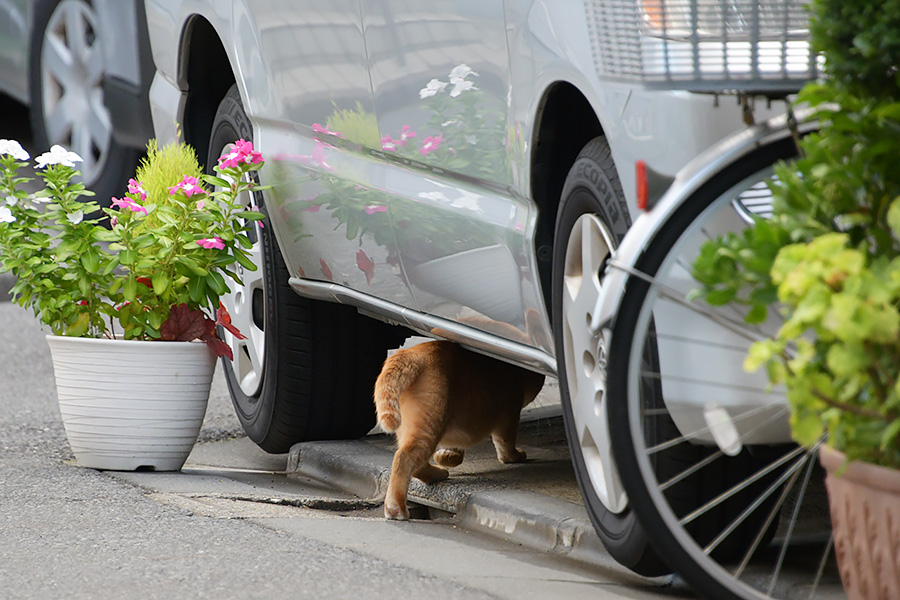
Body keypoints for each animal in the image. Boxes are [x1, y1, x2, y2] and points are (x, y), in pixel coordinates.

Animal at [370, 342, 540, 520]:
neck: (512, 372)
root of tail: (411, 352)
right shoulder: (509, 416)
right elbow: (505, 447)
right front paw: (515, 456)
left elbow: (453, 451)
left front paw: (446, 456)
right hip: (428, 426)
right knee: (404, 458)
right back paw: (396, 508)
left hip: (411, 428)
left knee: (417, 465)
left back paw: (437, 473)